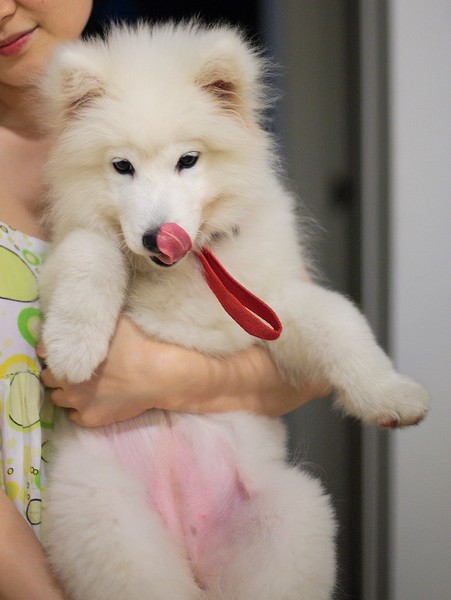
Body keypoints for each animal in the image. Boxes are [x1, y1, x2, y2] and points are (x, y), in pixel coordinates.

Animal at [38, 21, 428, 600]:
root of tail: (191, 547)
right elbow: (93, 251)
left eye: (189, 160)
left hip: (292, 516)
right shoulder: (64, 255)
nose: (157, 236)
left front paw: (392, 396)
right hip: (106, 520)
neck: (191, 267)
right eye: (122, 166)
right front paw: (73, 345)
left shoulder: (270, 306)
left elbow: (340, 320)